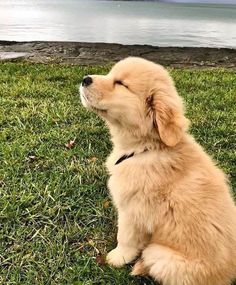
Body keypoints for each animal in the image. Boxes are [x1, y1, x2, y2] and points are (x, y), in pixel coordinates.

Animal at [79, 56, 236, 282]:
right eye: (111, 74)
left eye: (121, 84)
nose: (85, 79)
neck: (146, 147)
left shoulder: (132, 211)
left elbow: (125, 238)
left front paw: (116, 257)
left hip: (159, 254)